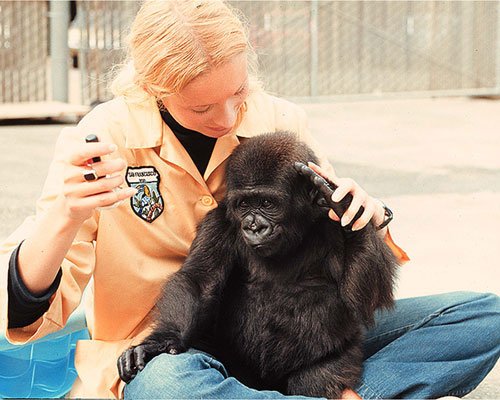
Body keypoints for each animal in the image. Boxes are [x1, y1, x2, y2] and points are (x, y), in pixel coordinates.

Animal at [117, 130, 398, 396]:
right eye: (244, 204)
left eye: (266, 203)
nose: (253, 226)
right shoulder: (219, 224)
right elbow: (198, 281)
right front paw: (162, 340)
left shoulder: (329, 226)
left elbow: (359, 297)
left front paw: (349, 207)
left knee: (317, 379)